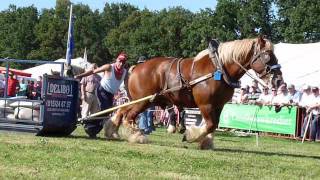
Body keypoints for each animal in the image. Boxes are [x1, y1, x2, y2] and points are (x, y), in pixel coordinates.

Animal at [105, 35, 282, 149]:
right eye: (267, 56)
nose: (278, 80)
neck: (219, 68)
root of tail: (137, 68)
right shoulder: (205, 104)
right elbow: (210, 125)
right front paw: (191, 136)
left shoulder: (218, 106)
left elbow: (213, 125)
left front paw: (206, 142)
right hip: (143, 101)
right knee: (129, 116)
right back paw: (137, 136)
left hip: (144, 100)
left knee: (121, 111)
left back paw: (112, 131)